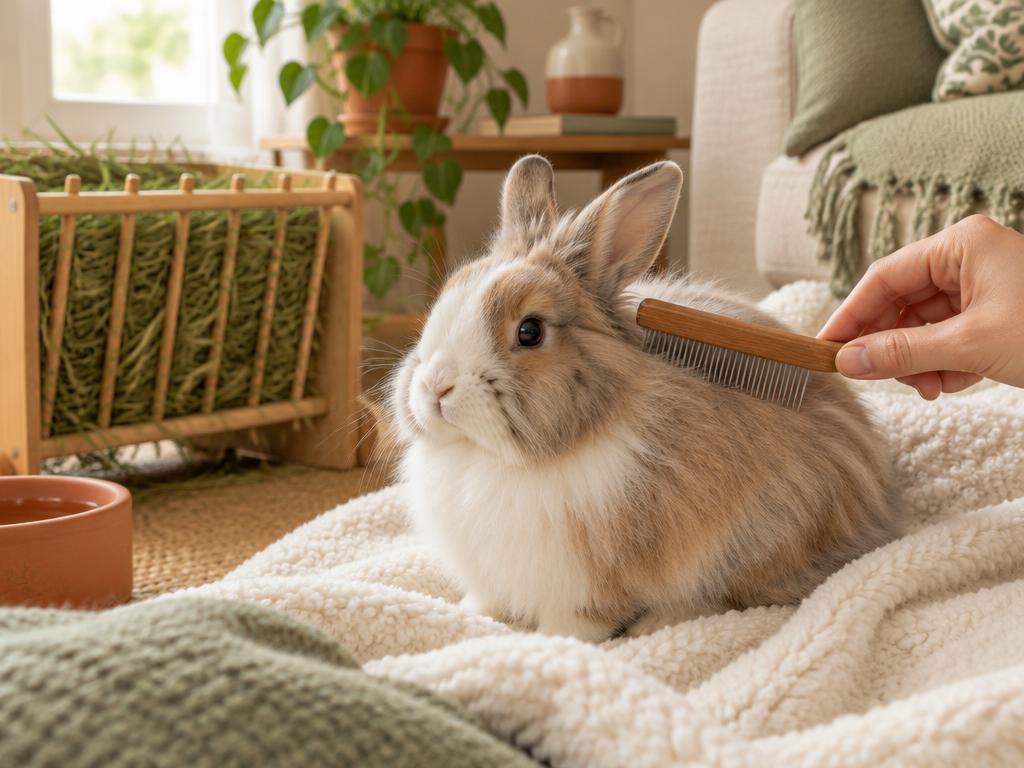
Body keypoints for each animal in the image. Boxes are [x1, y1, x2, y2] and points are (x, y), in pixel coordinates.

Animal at [388, 155, 903, 643]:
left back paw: (659, 623)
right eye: (446, 298)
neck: (489, 457)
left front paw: (550, 644)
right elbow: (485, 602)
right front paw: (468, 616)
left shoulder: (589, 584)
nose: (436, 386)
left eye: (530, 331)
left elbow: (575, 624)